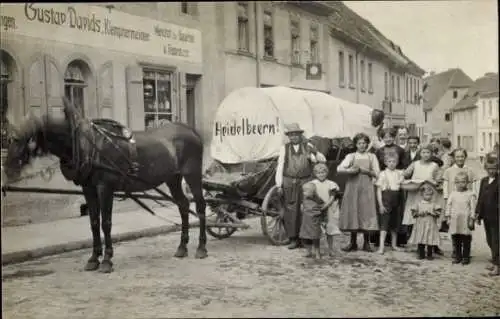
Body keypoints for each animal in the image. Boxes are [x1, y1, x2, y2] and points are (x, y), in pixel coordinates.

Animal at [3, 99, 207, 274]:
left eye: (23, 139)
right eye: (9, 139)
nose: (8, 170)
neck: (88, 146)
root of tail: (191, 130)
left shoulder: (105, 188)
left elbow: (106, 223)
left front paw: (107, 260)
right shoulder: (89, 189)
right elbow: (94, 222)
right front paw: (94, 258)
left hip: (192, 175)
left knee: (200, 206)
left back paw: (201, 247)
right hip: (173, 178)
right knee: (183, 205)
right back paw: (182, 247)